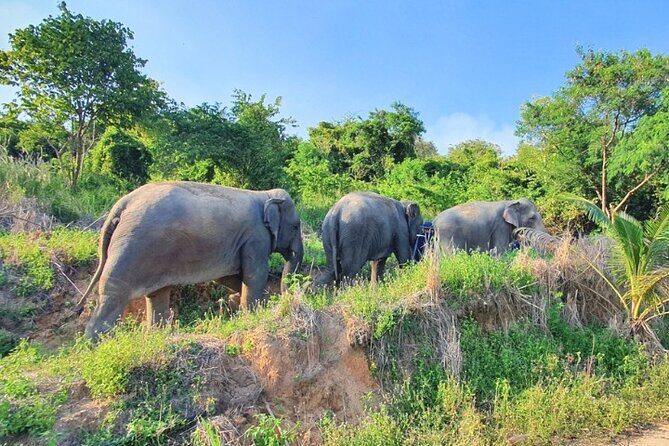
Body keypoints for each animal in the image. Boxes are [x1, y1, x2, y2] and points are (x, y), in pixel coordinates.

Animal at [81, 181, 303, 339]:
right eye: (295, 226)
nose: (285, 299)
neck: (265, 195)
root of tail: (123, 203)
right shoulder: (256, 237)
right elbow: (253, 275)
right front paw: (254, 311)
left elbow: (228, 276)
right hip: (133, 246)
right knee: (113, 291)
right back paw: (94, 344)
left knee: (157, 294)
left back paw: (156, 335)